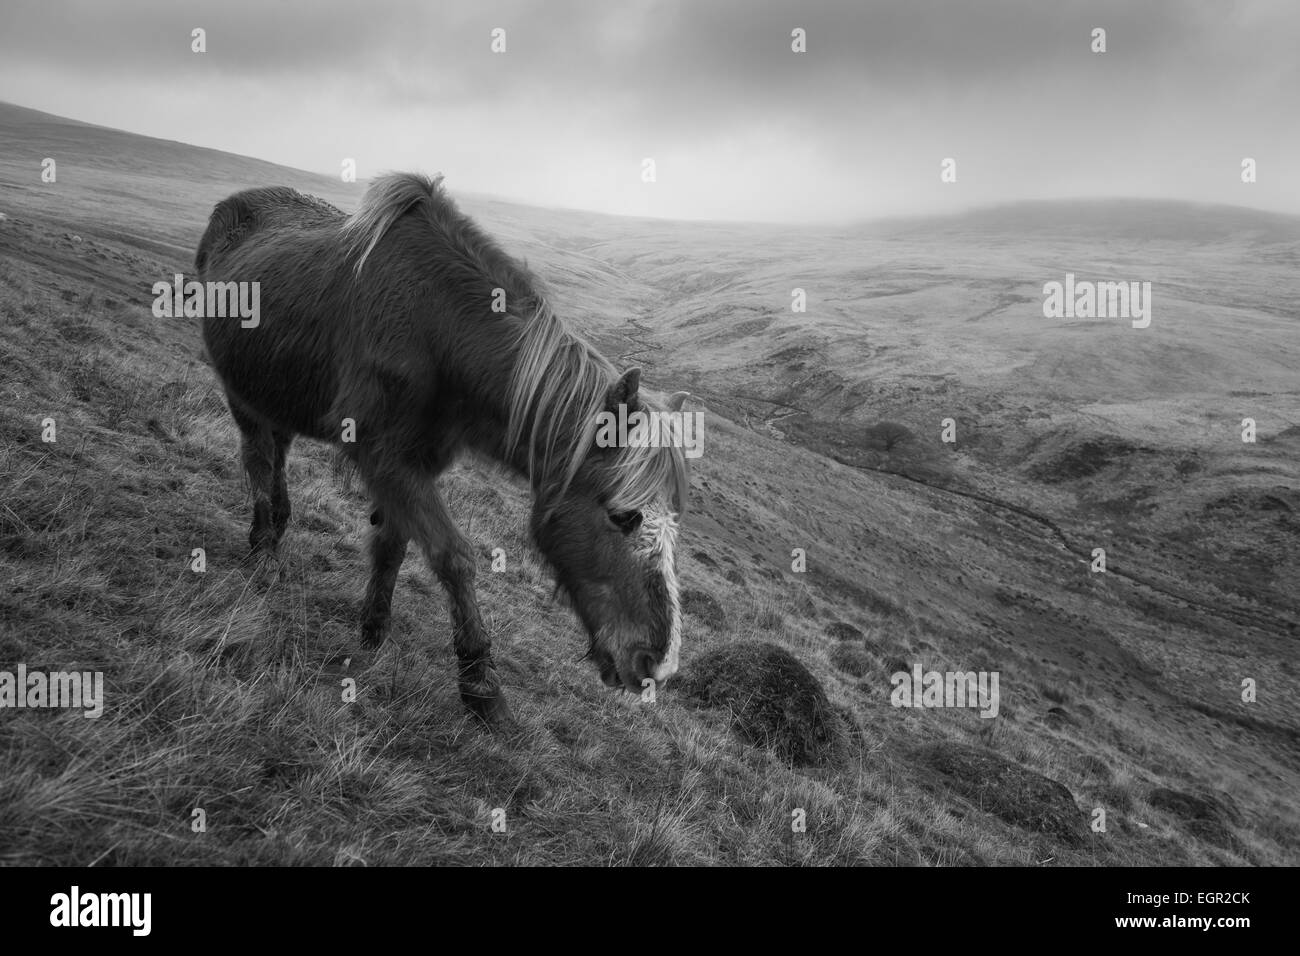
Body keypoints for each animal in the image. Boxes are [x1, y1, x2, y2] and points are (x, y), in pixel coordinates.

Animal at [195, 172, 689, 726]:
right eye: (623, 516)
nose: (657, 665)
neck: (439, 329)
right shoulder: (385, 458)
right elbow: (454, 557)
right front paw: (480, 682)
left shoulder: (417, 465)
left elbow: (393, 544)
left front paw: (374, 628)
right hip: (241, 393)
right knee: (257, 458)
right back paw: (263, 550)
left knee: (275, 452)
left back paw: (276, 529)